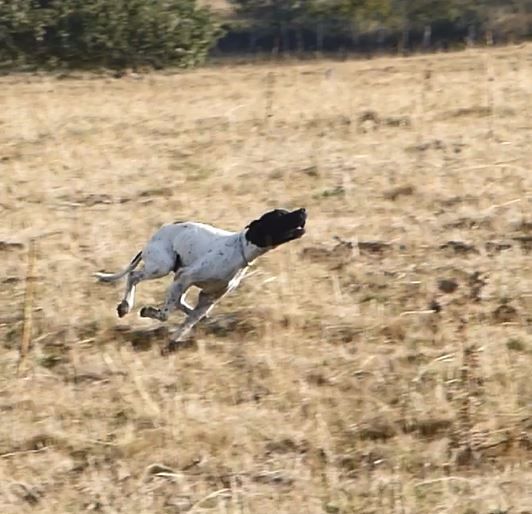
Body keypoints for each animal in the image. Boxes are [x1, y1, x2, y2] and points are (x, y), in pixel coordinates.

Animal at [95, 207, 308, 344]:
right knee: (133, 276)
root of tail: (157, 233)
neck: (239, 250)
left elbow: (188, 321)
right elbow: (165, 314)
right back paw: (125, 306)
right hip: (162, 267)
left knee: (182, 304)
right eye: (280, 215)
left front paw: (174, 341)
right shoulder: (185, 277)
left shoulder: (207, 297)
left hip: (175, 277)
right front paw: (149, 312)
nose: (303, 210)